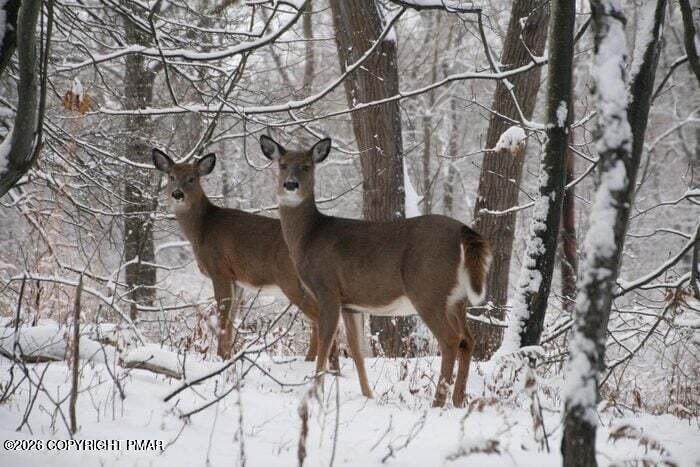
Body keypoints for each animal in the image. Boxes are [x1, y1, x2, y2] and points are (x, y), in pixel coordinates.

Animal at [151, 147, 352, 368]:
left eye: (192, 178)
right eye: (171, 176)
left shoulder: (219, 268)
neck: (202, 229)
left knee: (320, 319)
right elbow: (231, 318)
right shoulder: (236, 278)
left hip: (291, 281)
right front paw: (229, 355)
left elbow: (223, 315)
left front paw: (220, 357)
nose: (177, 194)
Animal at [260, 135, 492, 407]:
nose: (290, 184)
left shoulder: (327, 289)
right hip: (457, 298)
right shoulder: (350, 303)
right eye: (282, 164)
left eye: (307, 166)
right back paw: (457, 401)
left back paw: (437, 403)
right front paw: (368, 394)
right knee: (468, 339)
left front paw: (316, 393)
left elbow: (326, 342)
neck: (309, 236)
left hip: (427, 289)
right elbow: (356, 349)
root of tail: (463, 231)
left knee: (450, 340)